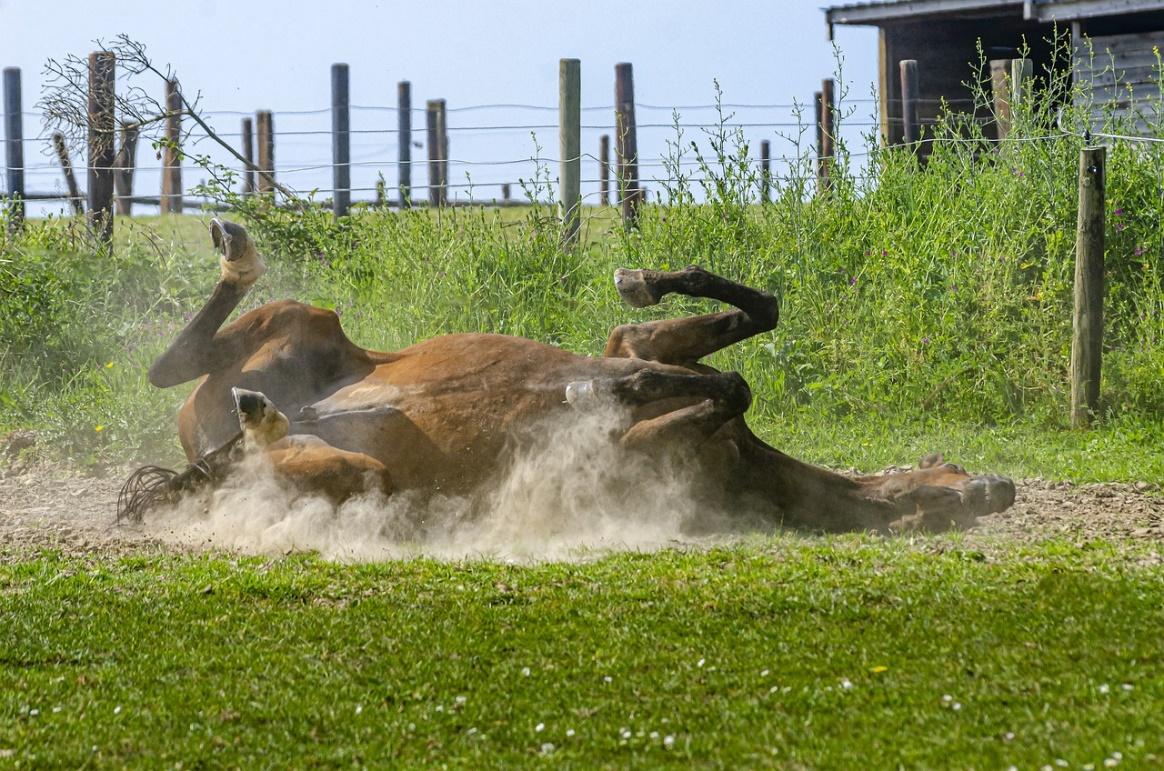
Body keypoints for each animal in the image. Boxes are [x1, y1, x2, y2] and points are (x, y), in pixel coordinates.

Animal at [115, 217, 1010, 531]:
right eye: (951, 484)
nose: (999, 486)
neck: (747, 466)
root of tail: (208, 450)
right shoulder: (635, 344)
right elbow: (753, 319)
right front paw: (640, 280)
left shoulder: (635, 452)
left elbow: (727, 383)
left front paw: (594, 392)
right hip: (305, 324)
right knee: (170, 363)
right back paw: (238, 253)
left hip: (353, 471)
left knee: (240, 429)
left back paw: (262, 415)